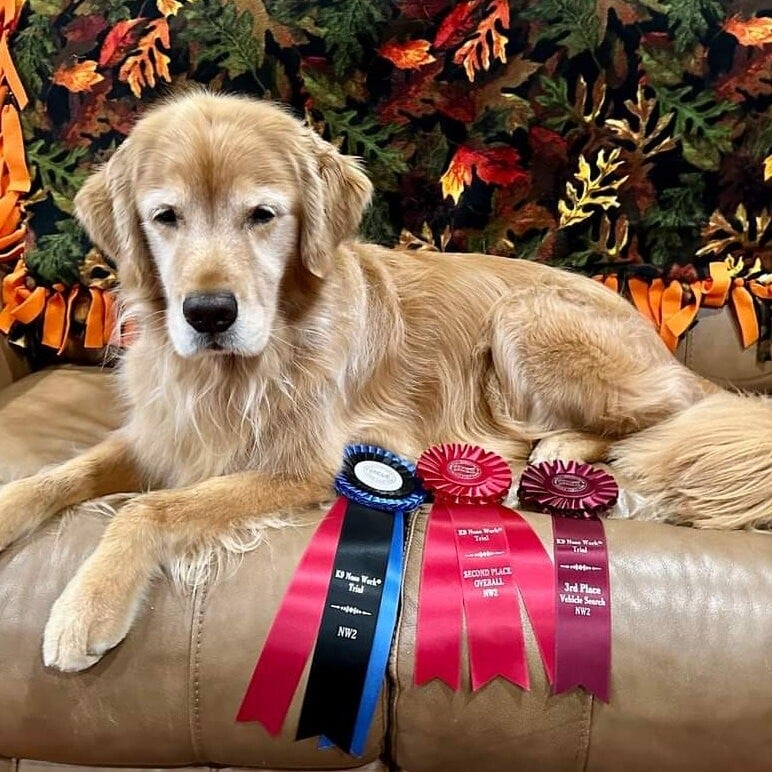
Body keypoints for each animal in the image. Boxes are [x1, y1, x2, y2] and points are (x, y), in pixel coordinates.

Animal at [0, 91, 769, 672]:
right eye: (165, 217)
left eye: (262, 215)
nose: (209, 313)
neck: (239, 370)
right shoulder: (163, 434)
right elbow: (63, 473)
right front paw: (12, 508)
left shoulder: (303, 465)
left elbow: (149, 510)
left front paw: (86, 605)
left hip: (525, 318)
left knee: (654, 421)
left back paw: (561, 453)